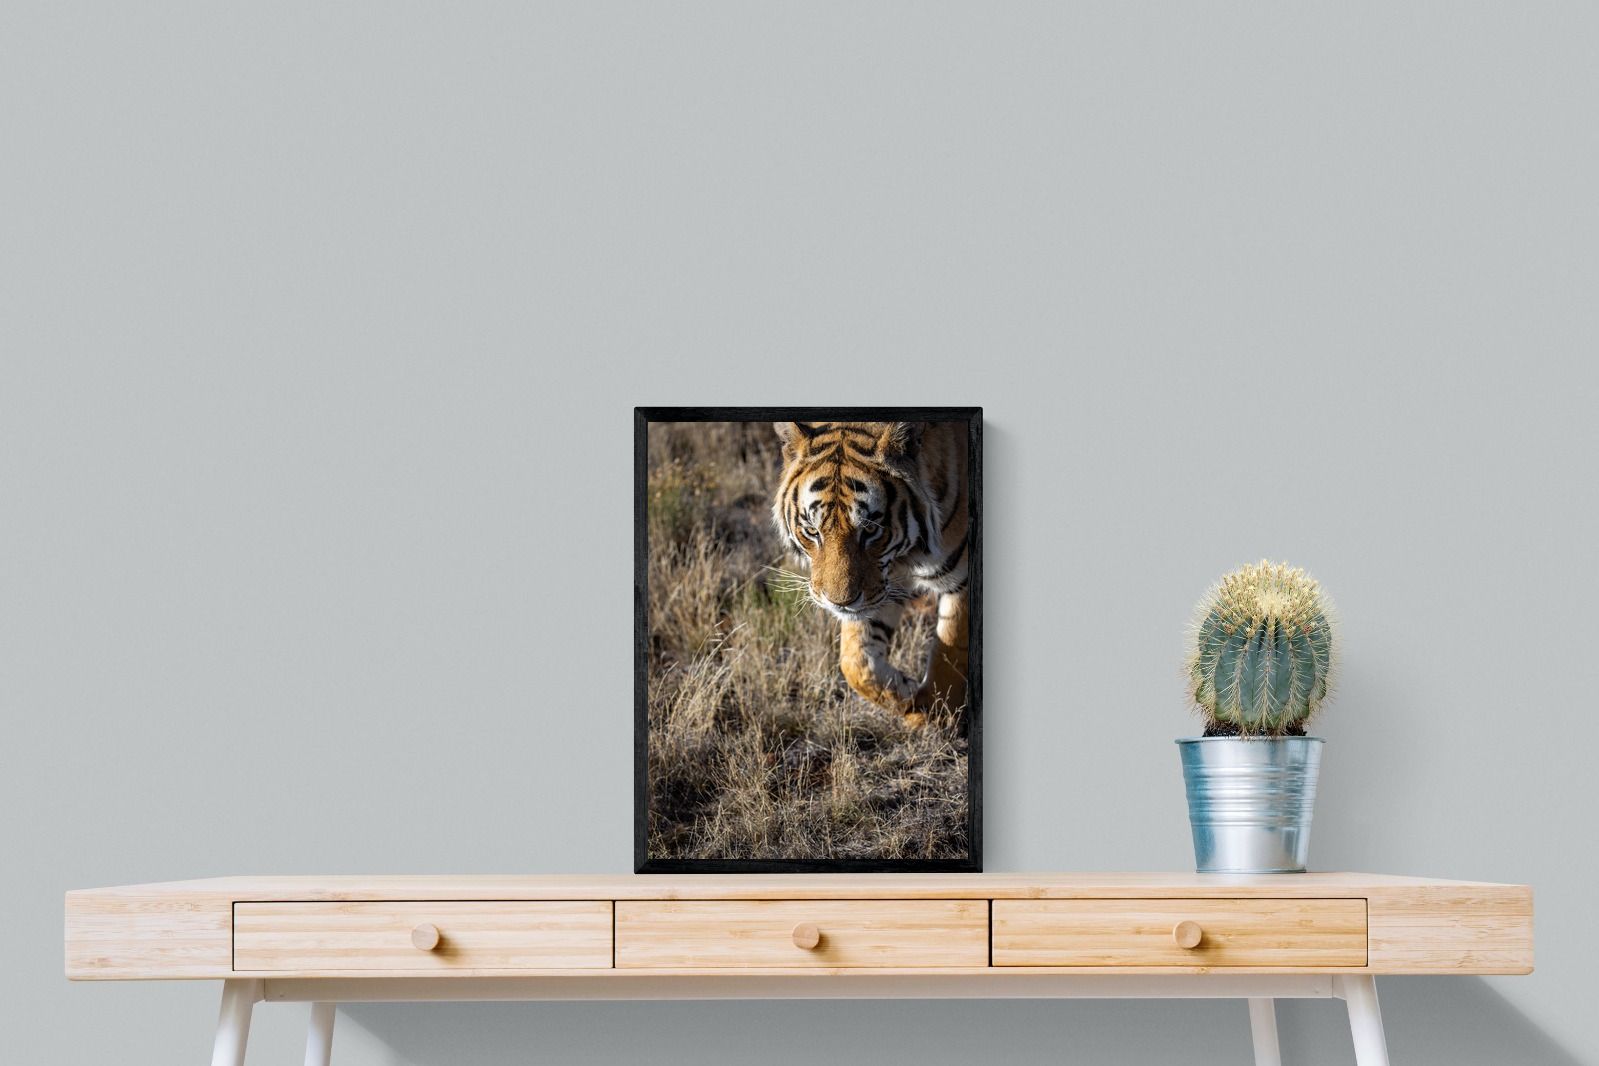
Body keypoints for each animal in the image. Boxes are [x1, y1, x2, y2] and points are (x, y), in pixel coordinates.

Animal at [772, 421, 971, 726]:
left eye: (870, 529)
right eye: (812, 531)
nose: (839, 603)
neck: (906, 555)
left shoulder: (962, 579)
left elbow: (949, 649)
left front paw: (936, 715)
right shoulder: (881, 587)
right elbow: (855, 662)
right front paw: (907, 694)